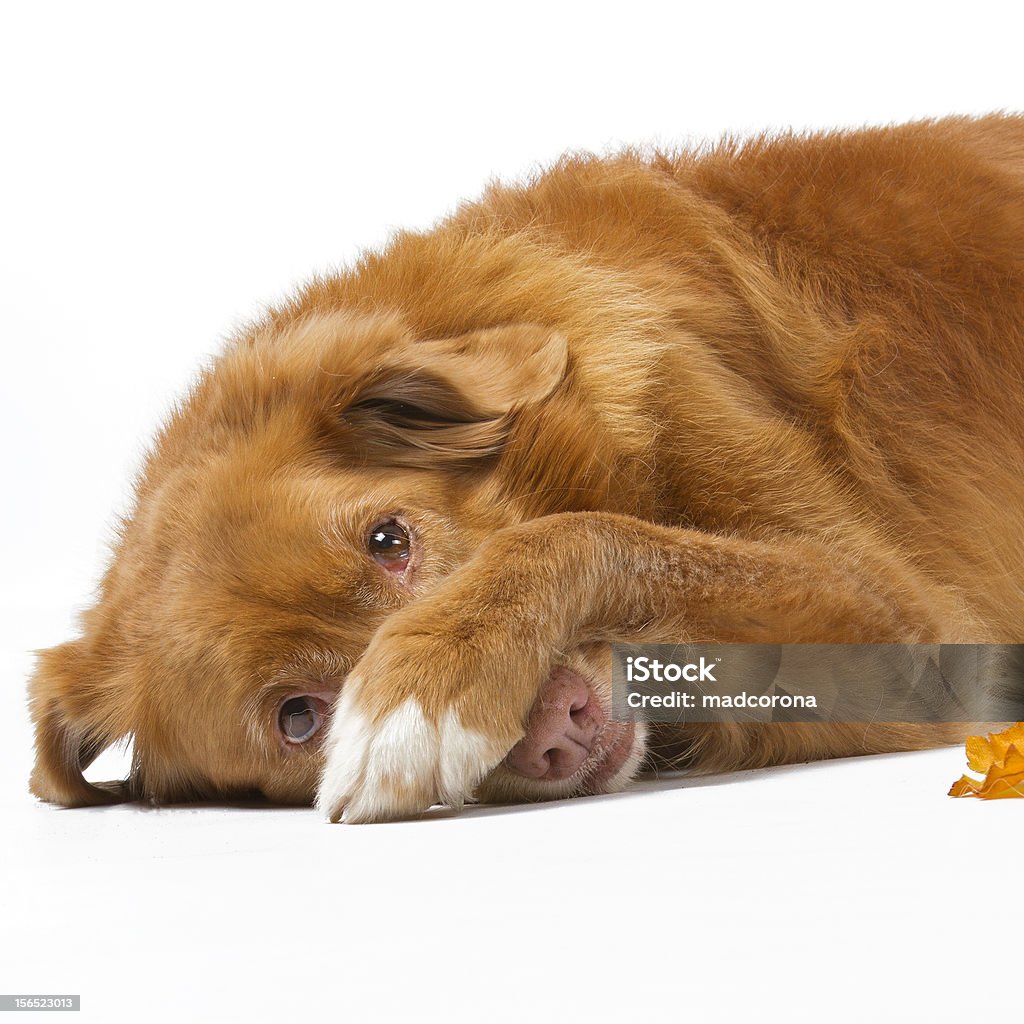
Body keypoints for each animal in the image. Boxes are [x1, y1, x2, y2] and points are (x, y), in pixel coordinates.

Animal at [28, 116, 1024, 819]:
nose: (556, 727)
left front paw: (423, 690)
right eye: (297, 719)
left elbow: (585, 533)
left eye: (390, 540)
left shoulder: (914, 627)